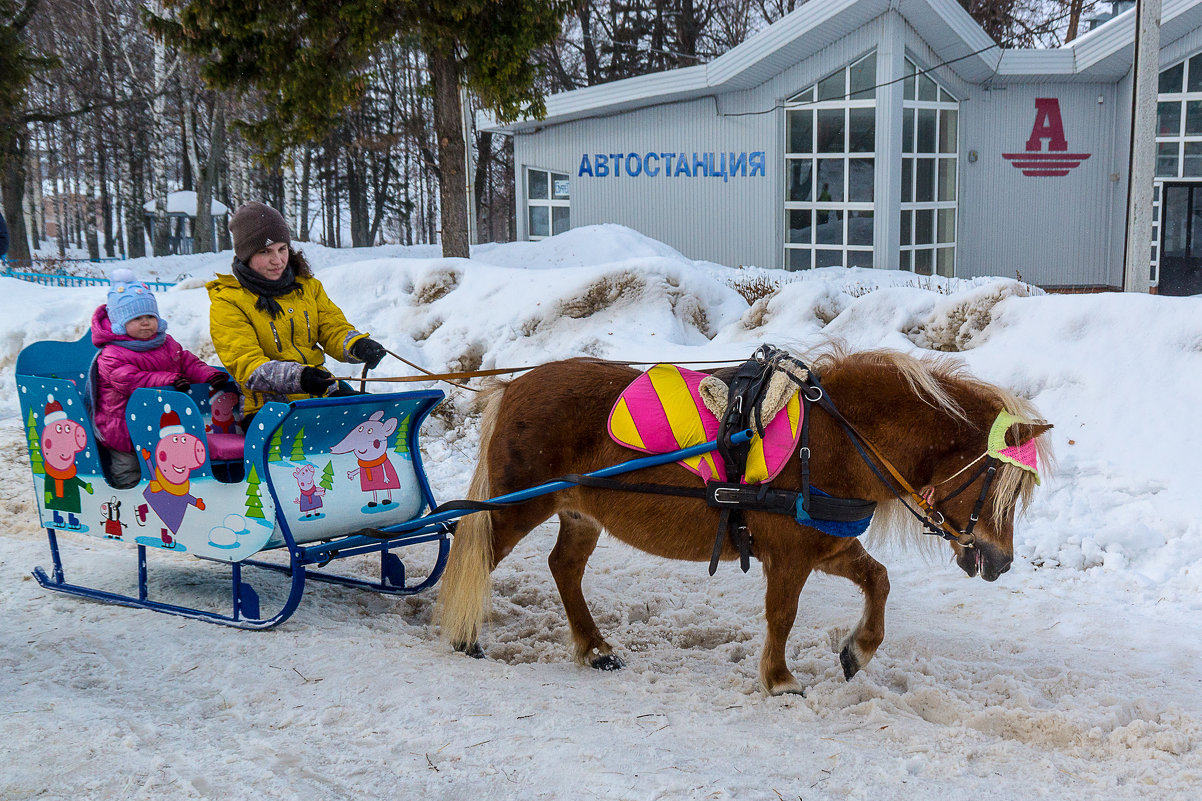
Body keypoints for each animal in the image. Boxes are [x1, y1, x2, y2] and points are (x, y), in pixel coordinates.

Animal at [435, 348, 1052, 692]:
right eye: (996, 482)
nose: (1002, 562)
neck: (833, 441)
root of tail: (514, 384)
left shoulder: (827, 545)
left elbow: (879, 582)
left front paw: (857, 650)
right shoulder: (791, 554)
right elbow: (782, 614)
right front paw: (779, 679)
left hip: (579, 512)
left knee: (563, 567)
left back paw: (594, 647)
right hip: (517, 505)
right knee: (477, 552)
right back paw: (465, 635)